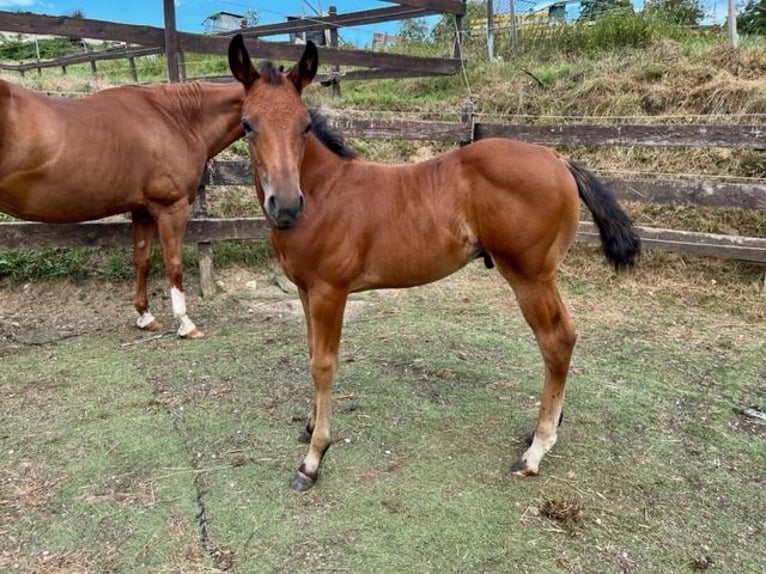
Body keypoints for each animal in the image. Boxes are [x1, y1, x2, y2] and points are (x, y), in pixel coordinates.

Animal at [0, 78, 245, 337]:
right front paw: (185, 323)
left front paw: (145, 316)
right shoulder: (171, 209)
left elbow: (142, 260)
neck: (175, 119)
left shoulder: (143, 211)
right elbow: (173, 263)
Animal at [227, 34, 641, 491]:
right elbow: (309, 352)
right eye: (247, 125)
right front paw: (310, 424)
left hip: (530, 276)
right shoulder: (304, 291)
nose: (285, 207)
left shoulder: (329, 293)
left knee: (557, 340)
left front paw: (313, 458)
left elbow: (324, 365)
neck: (323, 192)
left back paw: (537, 449)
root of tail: (558, 160)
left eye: (303, 125)